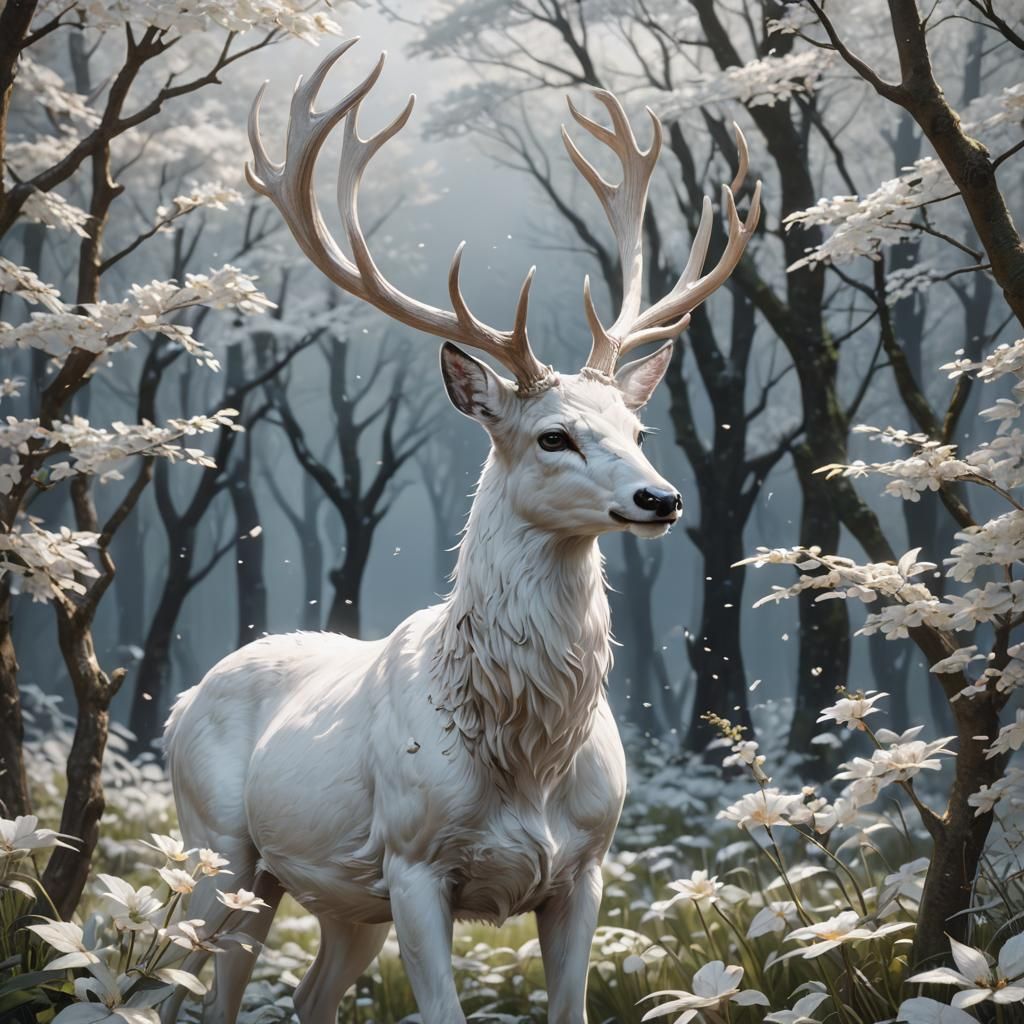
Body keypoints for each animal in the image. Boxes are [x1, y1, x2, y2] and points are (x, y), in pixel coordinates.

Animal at [159, 39, 759, 1024]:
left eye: (638, 430)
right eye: (554, 436)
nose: (661, 499)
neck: (527, 755)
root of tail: (179, 701)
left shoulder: (587, 865)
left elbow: (571, 1007)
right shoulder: (412, 861)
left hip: (340, 903)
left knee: (309, 998)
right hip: (218, 850)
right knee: (188, 991)